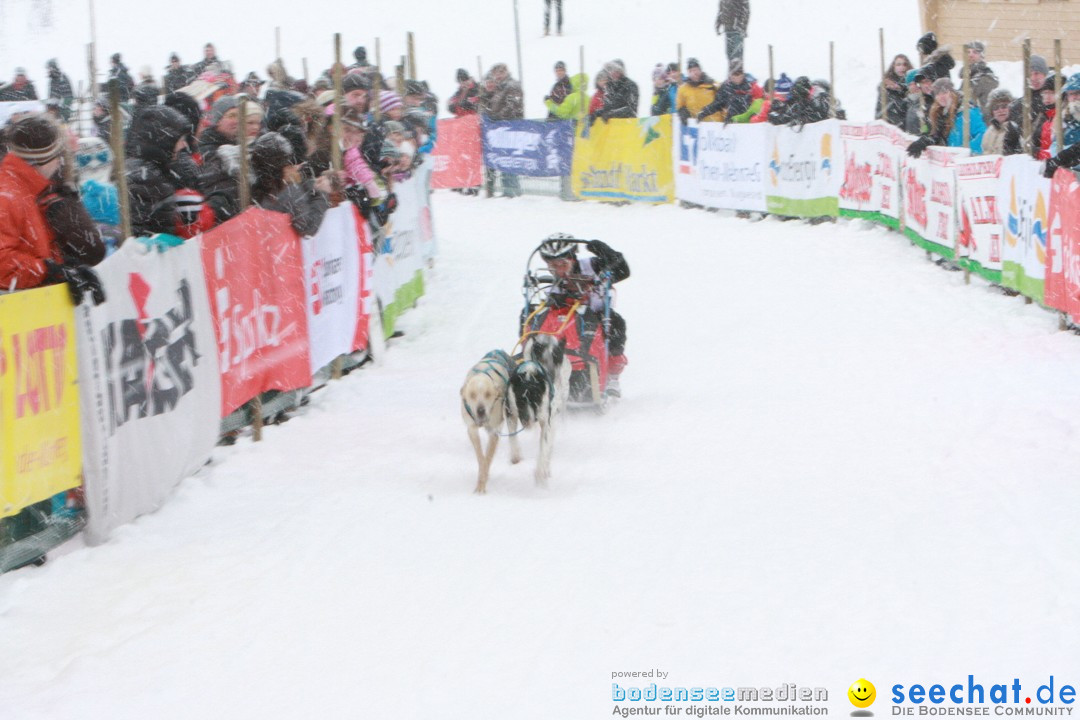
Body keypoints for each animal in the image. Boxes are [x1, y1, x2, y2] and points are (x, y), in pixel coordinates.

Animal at [460, 349, 514, 496]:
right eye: (472, 394)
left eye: (488, 394)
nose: (480, 410)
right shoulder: (471, 429)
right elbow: (481, 457)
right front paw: (482, 479)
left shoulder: (494, 431)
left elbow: (488, 457)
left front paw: (481, 484)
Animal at [505, 334, 574, 487]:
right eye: (520, 400)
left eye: (535, 399)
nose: (527, 420)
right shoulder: (511, 412)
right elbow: (513, 437)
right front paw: (516, 456)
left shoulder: (545, 421)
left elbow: (543, 448)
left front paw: (540, 473)